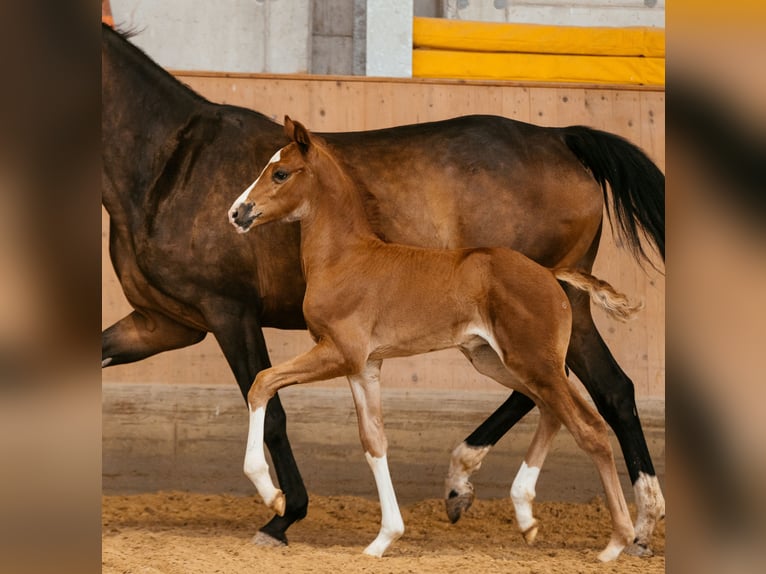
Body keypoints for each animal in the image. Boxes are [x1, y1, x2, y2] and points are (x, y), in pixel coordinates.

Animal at [102, 24, 664, 556]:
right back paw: (618, 521)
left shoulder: (232, 313)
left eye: (280, 172)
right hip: (527, 334)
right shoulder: (165, 323)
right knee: (600, 391)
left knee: (579, 397)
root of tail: (561, 139)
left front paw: (281, 512)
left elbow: (271, 406)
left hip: (540, 330)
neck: (167, 165)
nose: (238, 213)